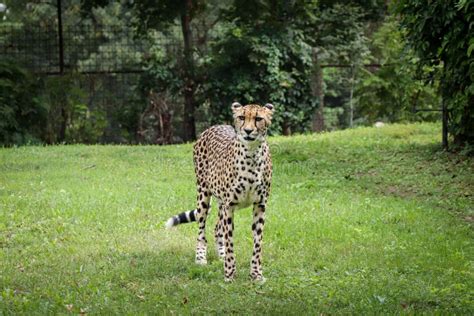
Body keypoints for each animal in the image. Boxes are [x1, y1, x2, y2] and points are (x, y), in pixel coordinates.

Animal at [166, 102, 274, 282]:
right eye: (241, 117)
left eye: (258, 118)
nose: (248, 131)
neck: (251, 154)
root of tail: (214, 126)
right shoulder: (229, 205)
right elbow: (230, 240)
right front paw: (229, 274)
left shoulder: (260, 205)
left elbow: (257, 243)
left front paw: (256, 275)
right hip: (203, 194)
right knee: (201, 230)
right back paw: (201, 258)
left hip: (220, 204)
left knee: (217, 229)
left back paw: (221, 255)